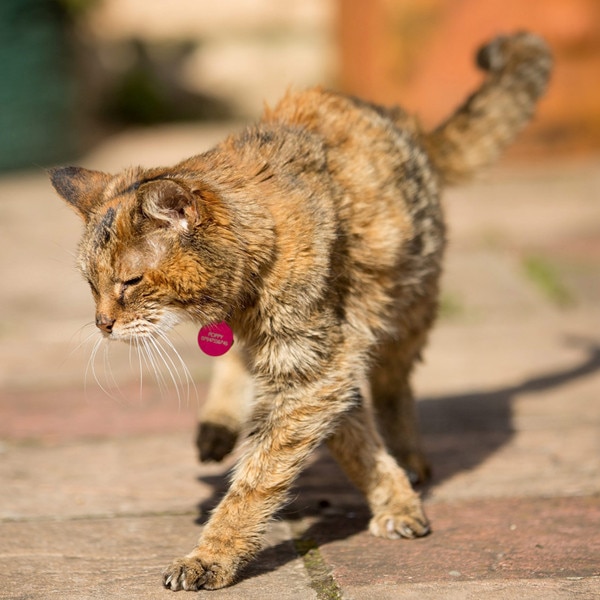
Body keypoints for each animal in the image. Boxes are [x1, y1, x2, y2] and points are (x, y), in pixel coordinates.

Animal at [49, 32, 552, 592]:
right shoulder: (317, 364)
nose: (102, 324)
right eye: (90, 285)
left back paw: (410, 456)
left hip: (407, 312)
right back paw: (220, 422)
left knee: (395, 388)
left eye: (130, 282)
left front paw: (213, 555)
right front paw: (392, 495)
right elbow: (345, 439)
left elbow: (262, 475)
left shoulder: (319, 365)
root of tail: (403, 121)